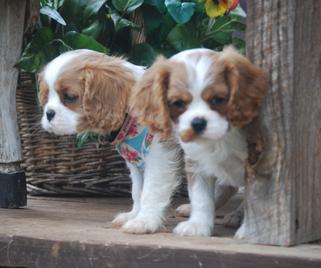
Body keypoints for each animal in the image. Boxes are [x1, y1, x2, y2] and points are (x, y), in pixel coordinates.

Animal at [38, 49, 180, 234]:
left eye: (69, 97)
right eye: (47, 97)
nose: (49, 113)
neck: (131, 117)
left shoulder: (159, 157)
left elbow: (150, 191)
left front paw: (144, 221)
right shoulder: (136, 161)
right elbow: (137, 191)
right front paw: (134, 215)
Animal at [130, 46, 264, 237]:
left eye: (218, 99)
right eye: (178, 103)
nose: (198, 123)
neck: (219, 140)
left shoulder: (256, 162)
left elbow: (254, 200)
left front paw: (249, 231)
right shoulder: (197, 162)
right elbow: (201, 197)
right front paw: (197, 225)